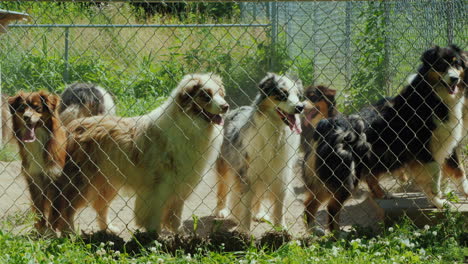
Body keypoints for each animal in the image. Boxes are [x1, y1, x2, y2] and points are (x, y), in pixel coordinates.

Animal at [8, 91, 66, 233]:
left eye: (37, 108)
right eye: (22, 108)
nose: (26, 117)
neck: (38, 140)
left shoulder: (55, 177)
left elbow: (54, 210)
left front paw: (51, 230)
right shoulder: (34, 178)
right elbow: (39, 207)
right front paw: (41, 229)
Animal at [50, 73, 228, 234]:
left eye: (220, 94)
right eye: (206, 96)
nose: (226, 106)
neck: (189, 125)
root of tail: (73, 126)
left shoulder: (180, 186)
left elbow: (176, 216)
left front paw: (179, 235)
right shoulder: (159, 187)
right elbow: (155, 214)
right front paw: (154, 236)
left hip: (107, 182)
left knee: (100, 207)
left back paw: (109, 229)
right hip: (82, 182)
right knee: (66, 208)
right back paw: (69, 233)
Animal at [213, 73, 302, 232]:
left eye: (298, 96)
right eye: (282, 94)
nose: (300, 107)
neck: (276, 130)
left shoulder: (280, 173)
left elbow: (279, 205)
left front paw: (281, 229)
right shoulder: (247, 173)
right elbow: (246, 203)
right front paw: (244, 230)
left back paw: (259, 213)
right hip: (225, 163)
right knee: (223, 186)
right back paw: (221, 210)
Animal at [306, 46, 466, 233]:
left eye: (457, 64)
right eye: (441, 65)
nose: (454, 79)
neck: (433, 96)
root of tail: (328, 124)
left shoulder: (446, 143)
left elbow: (459, 171)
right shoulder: (423, 149)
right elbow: (434, 175)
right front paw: (439, 201)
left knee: (310, 203)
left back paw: (315, 231)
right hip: (347, 176)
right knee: (331, 207)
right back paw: (336, 235)